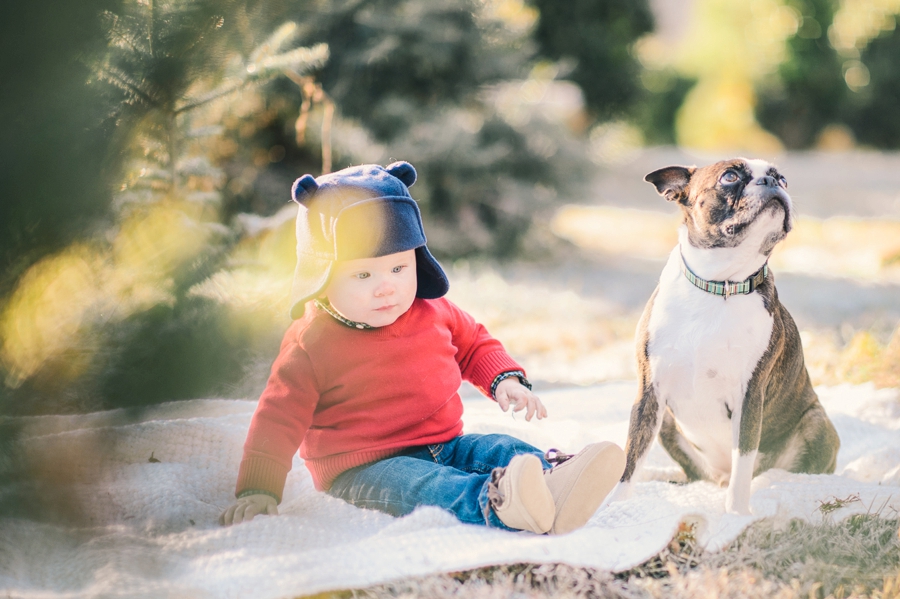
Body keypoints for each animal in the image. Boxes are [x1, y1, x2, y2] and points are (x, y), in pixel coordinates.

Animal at [608, 159, 840, 516]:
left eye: (784, 178)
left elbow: (742, 460)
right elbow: (631, 456)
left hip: (817, 423)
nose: (773, 181)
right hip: (668, 424)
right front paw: (614, 506)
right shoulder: (649, 392)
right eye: (730, 176)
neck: (719, 284)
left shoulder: (749, 396)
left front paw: (736, 514)